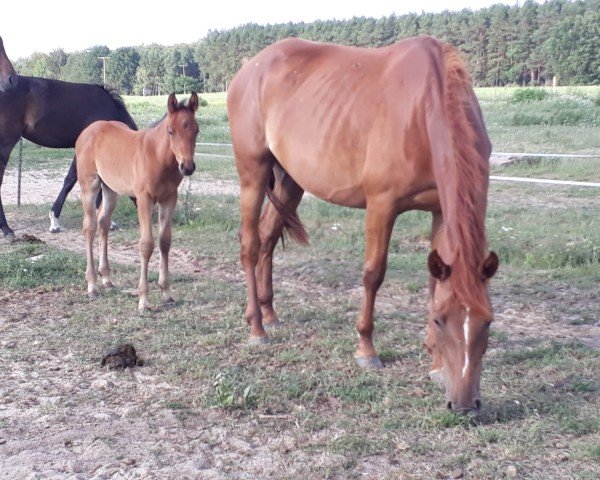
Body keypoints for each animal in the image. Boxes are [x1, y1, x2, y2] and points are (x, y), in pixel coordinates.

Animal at [76, 92, 199, 314]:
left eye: (196, 129)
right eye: (171, 131)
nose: (187, 167)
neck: (158, 157)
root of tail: (87, 131)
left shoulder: (169, 198)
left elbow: (165, 241)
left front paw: (166, 293)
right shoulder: (144, 199)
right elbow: (146, 244)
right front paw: (143, 299)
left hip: (111, 189)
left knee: (103, 223)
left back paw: (106, 278)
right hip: (89, 185)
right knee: (89, 227)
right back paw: (92, 285)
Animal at [227, 37, 500, 412]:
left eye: (487, 321)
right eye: (441, 320)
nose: (463, 404)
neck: (423, 108)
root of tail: (248, 68)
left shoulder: (441, 212)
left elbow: (434, 283)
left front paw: (434, 364)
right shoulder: (381, 205)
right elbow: (374, 274)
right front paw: (366, 350)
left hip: (289, 182)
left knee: (267, 237)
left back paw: (269, 313)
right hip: (253, 175)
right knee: (250, 244)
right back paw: (256, 327)